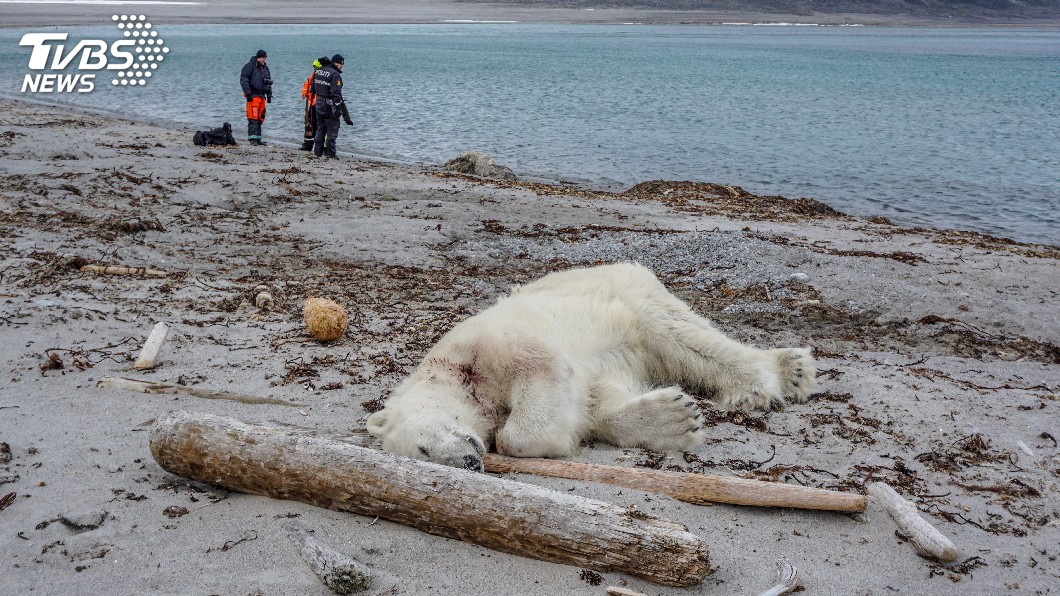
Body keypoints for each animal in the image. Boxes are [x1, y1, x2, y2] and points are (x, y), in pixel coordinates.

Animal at [366, 262, 815, 472]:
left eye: (423, 448)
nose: (469, 462)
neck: (455, 374)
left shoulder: (488, 343)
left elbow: (541, 371)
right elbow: (597, 401)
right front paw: (672, 418)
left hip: (629, 296)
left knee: (682, 337)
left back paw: (779, 375)